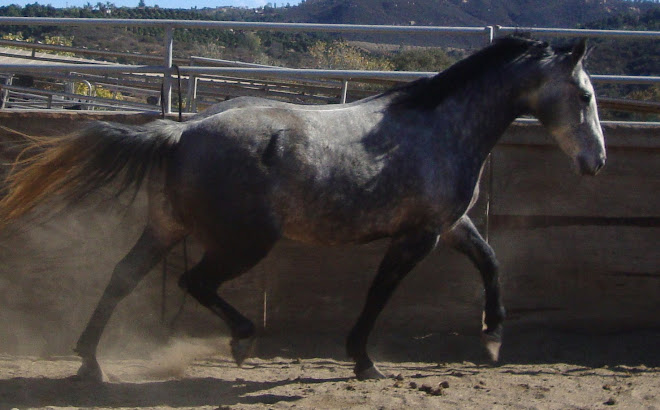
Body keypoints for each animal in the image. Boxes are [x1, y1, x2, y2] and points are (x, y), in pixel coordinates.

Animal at [0, 36, 604, 382]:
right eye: (585, 95)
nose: (596, 161)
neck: (441, 127)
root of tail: (181, 131)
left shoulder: (447, 225)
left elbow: (490, 261)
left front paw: (494, 336)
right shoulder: (419, 235)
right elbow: (380, 293)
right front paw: (363, 360)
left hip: (166, 228)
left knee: (124, 276)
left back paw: (90, 362)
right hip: (244, 242)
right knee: (194, 283)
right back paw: (240, 342)